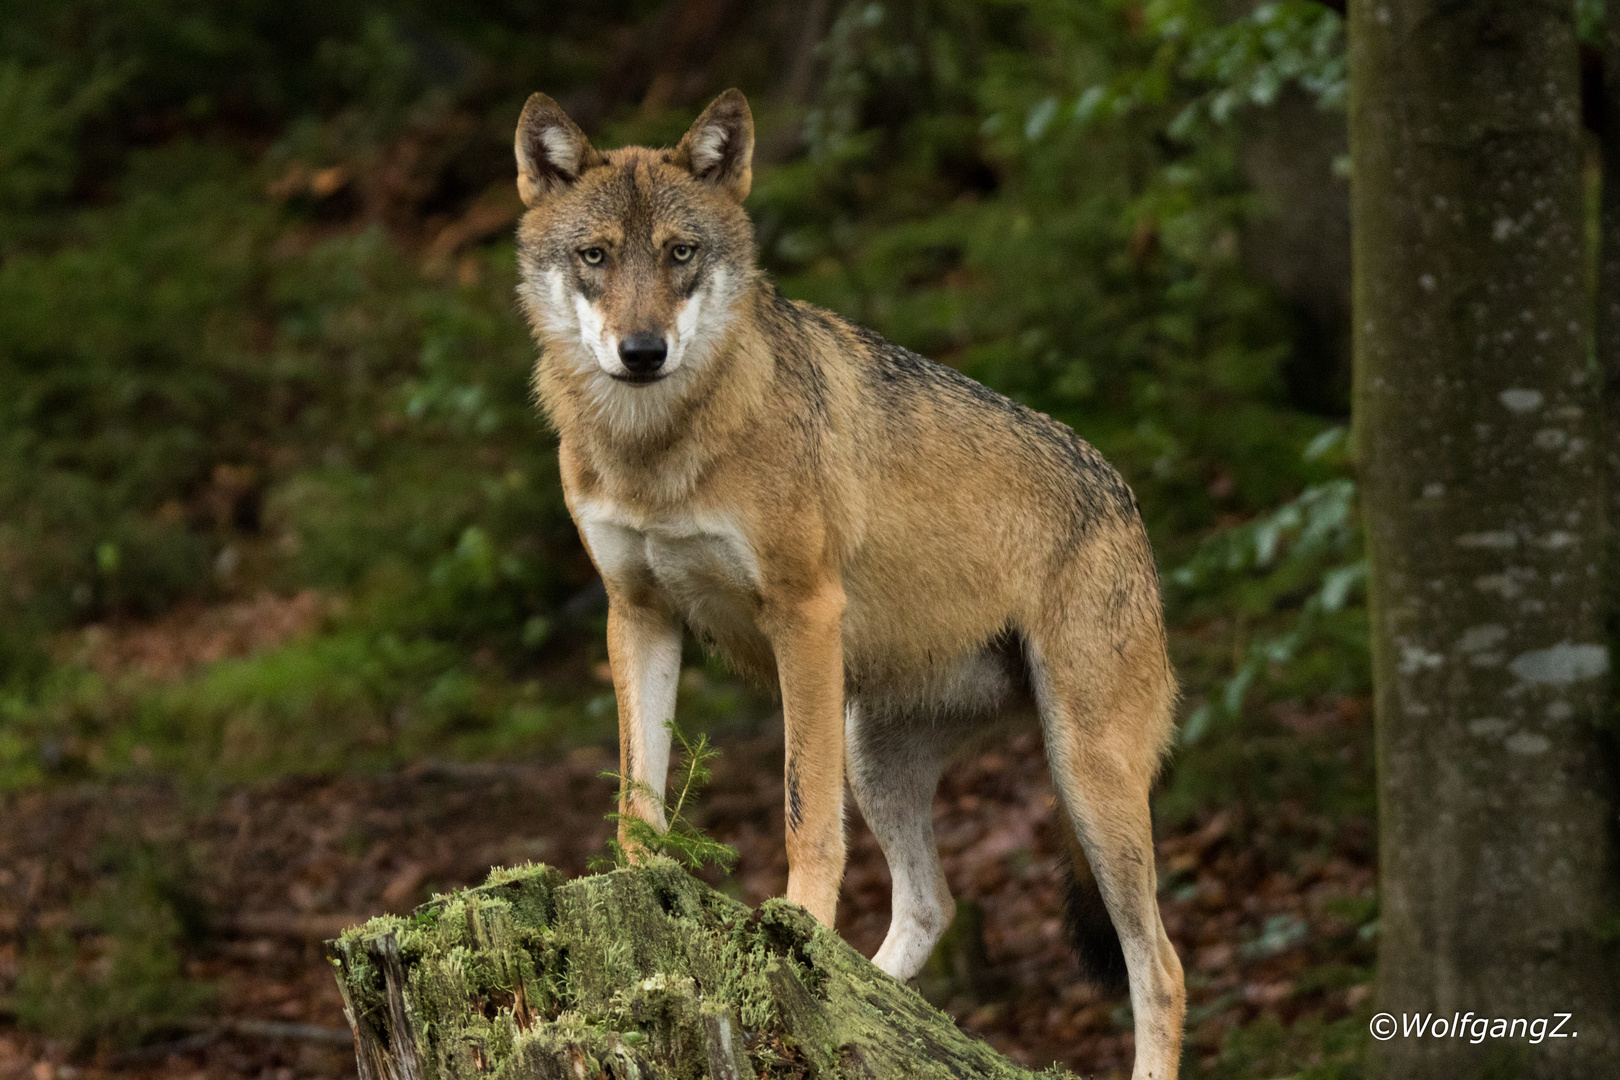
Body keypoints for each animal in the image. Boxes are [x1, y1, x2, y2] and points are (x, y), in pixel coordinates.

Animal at [518, 88, 1192, 1075]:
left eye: (680, 253)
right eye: (596, 256)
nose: (642, 351)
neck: (658, 447)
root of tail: (1127, 501)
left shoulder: (803, 613)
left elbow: (802, 810)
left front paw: (792, 922)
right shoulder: (636, 614)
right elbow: (636, 805)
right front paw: (639, 899)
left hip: (1082, 774)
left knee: (1161, 966)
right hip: (881, 756)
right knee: (933, 906)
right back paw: (861, 1004)